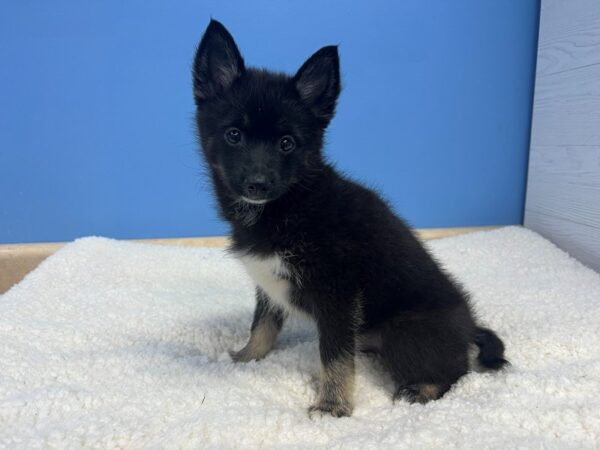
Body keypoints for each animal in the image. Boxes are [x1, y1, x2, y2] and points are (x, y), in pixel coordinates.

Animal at [193, 20, 506, 418]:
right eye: (234, 135)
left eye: (286, 143)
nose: (258, 184)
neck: (291, 203)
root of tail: (469, 329)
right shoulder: (269, 283)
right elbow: (262, 324)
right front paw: (246, 358)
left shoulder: (338, 296)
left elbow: (335, 356)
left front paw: (332, 406)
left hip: (406, 330)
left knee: (455, 372)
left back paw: (420, 389)